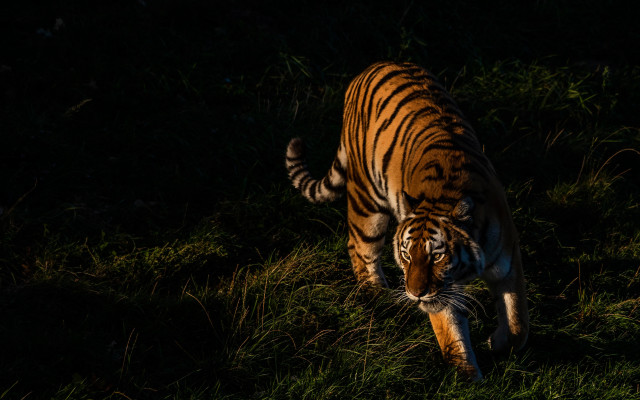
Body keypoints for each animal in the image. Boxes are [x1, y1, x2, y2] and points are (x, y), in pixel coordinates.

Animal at [285, 61, 529, 380]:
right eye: (406, 255)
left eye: (437, 256)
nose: (415, 294)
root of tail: (370, 68)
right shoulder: (441, 294)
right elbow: (452, 335)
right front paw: (466, 379)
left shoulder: (508, 262)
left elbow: (517, 321)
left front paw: (498, 343)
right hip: (367, 202)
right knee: (359, 247)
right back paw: (377, 295)